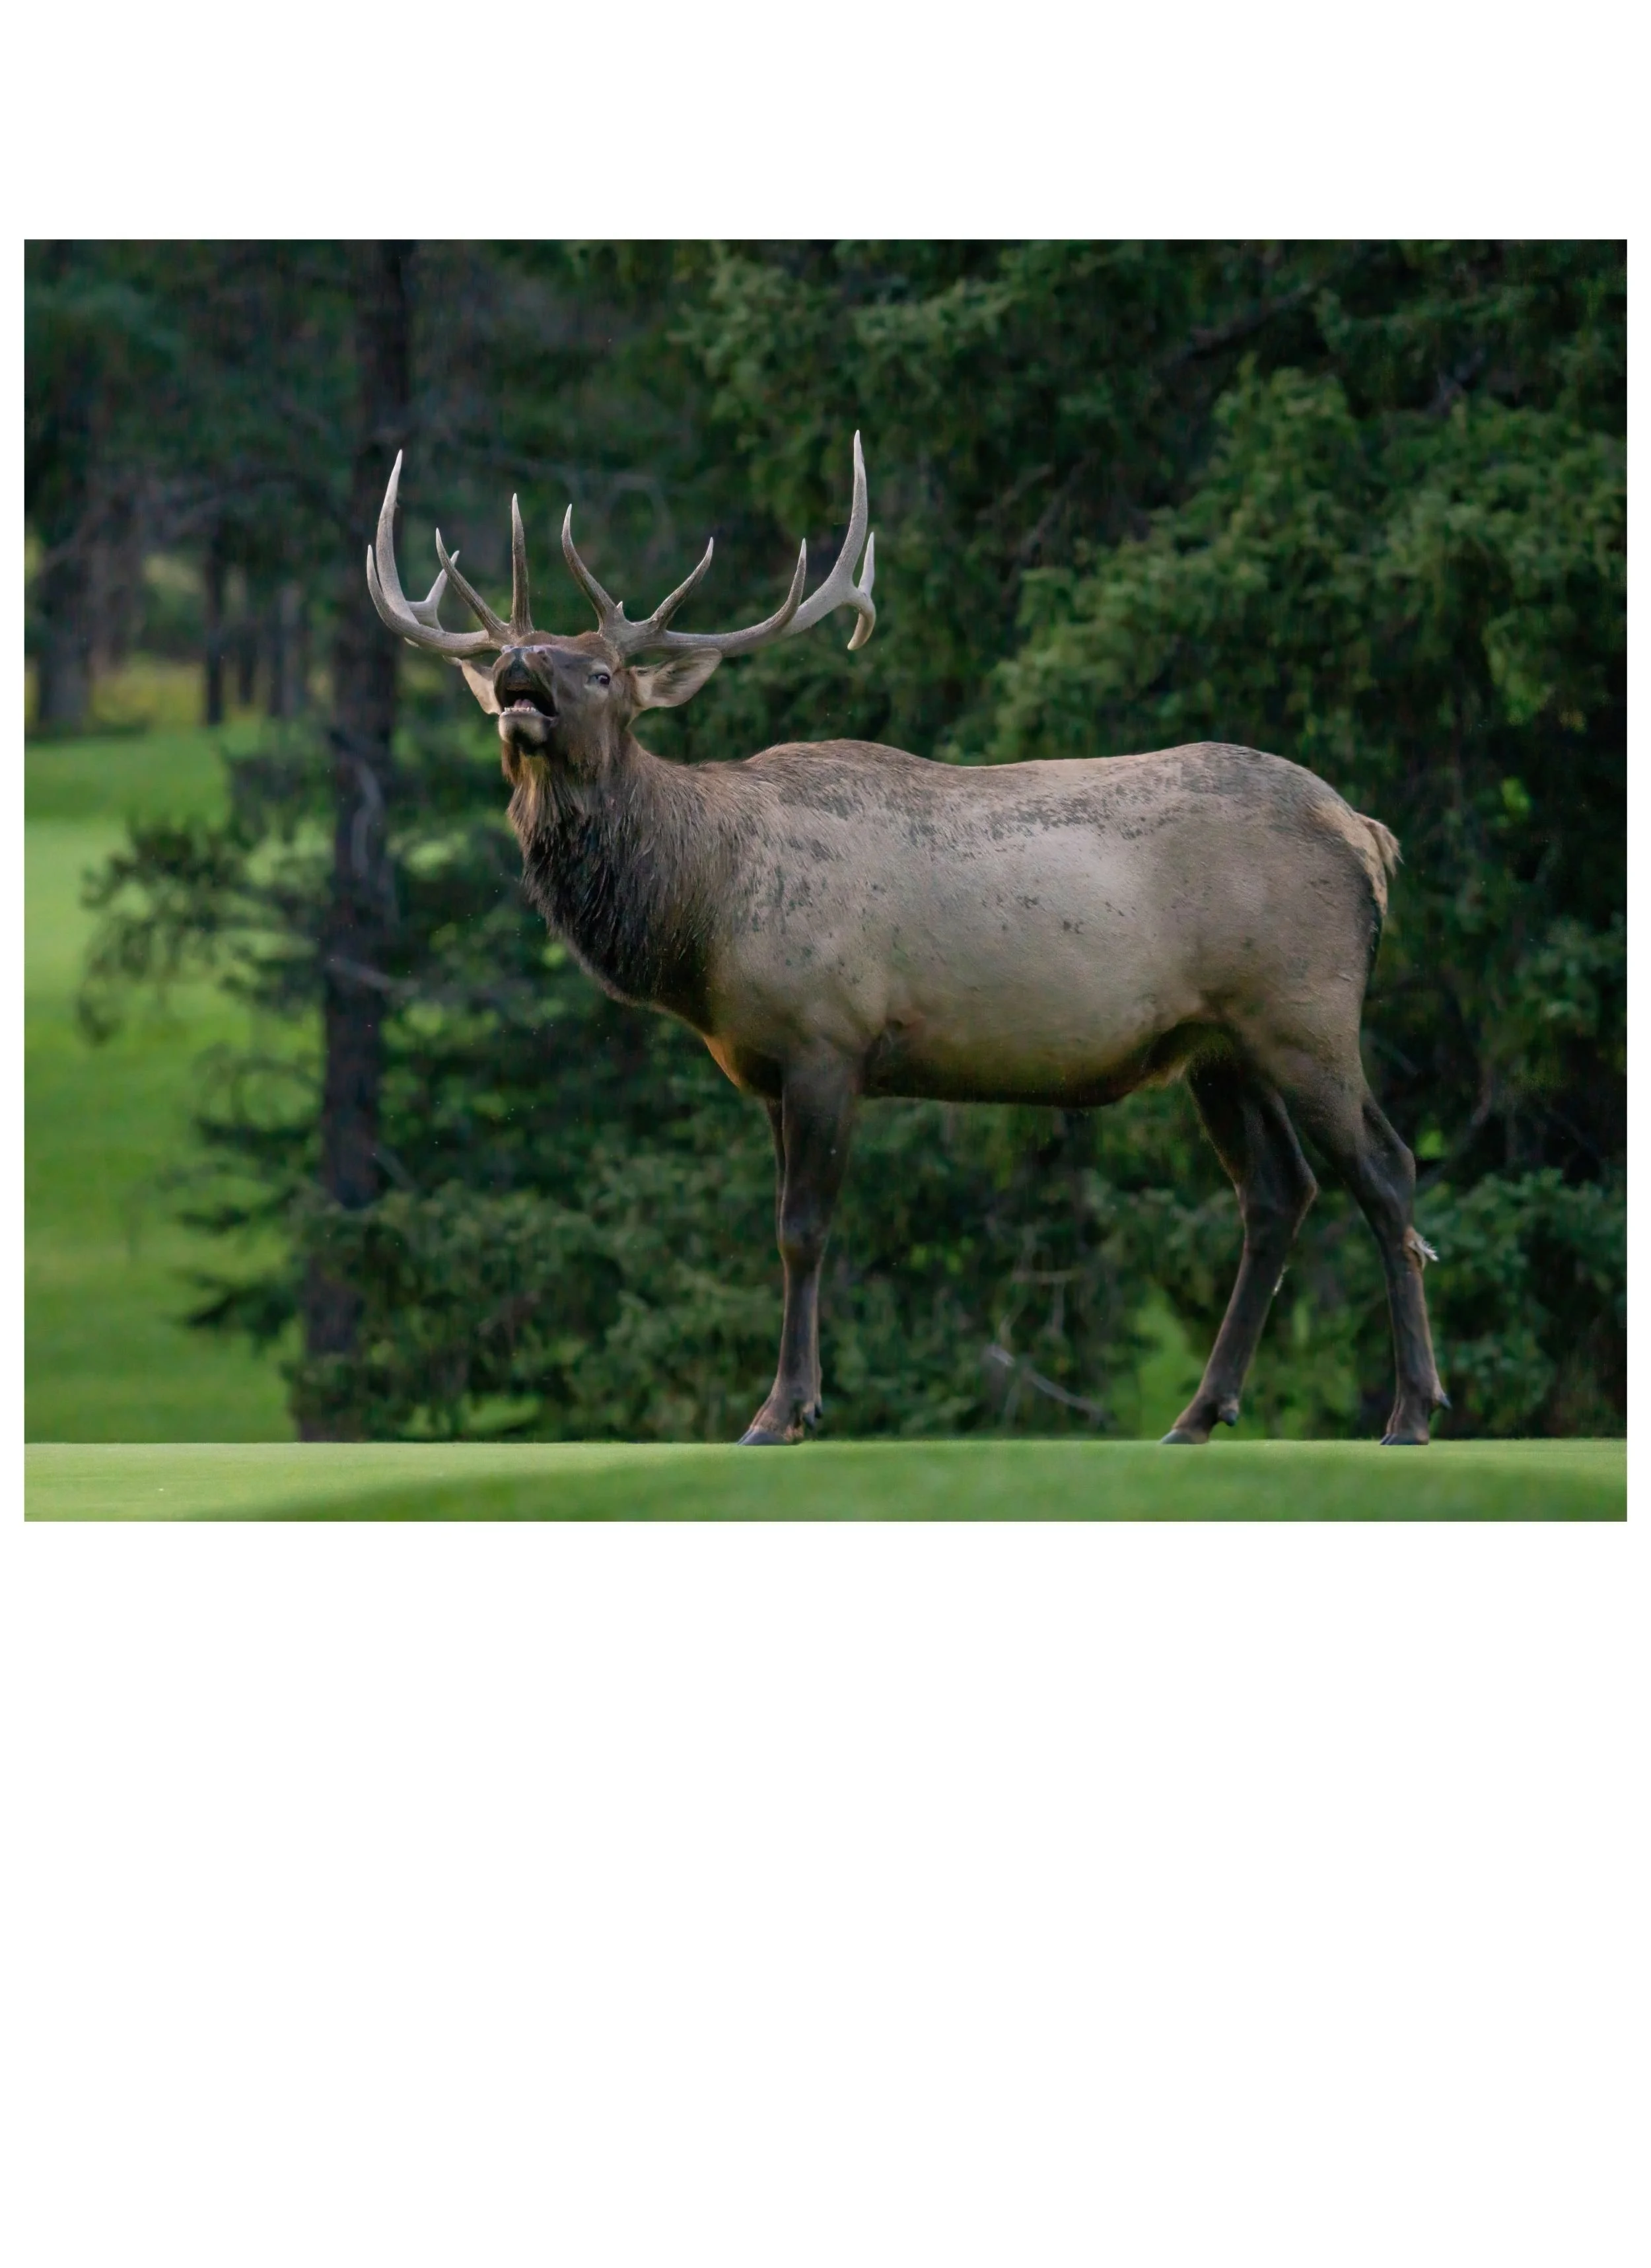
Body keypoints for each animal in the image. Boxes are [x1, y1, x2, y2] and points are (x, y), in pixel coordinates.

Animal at [367, 436, 1447, 1447]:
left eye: (600, 669)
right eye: (523, 653)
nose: (517, 668)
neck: (703, 910)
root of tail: (1368, 833)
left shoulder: (827, 1037)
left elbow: (802, 1231)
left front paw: (782, 1411)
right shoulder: (769, 1068)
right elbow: (790, 1231)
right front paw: (797, 1403)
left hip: (1303, 1009)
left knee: (1385, 1169)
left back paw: (1412, 1410)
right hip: (1216, 1046)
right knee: (1277, 1193)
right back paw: (1198, 1412)